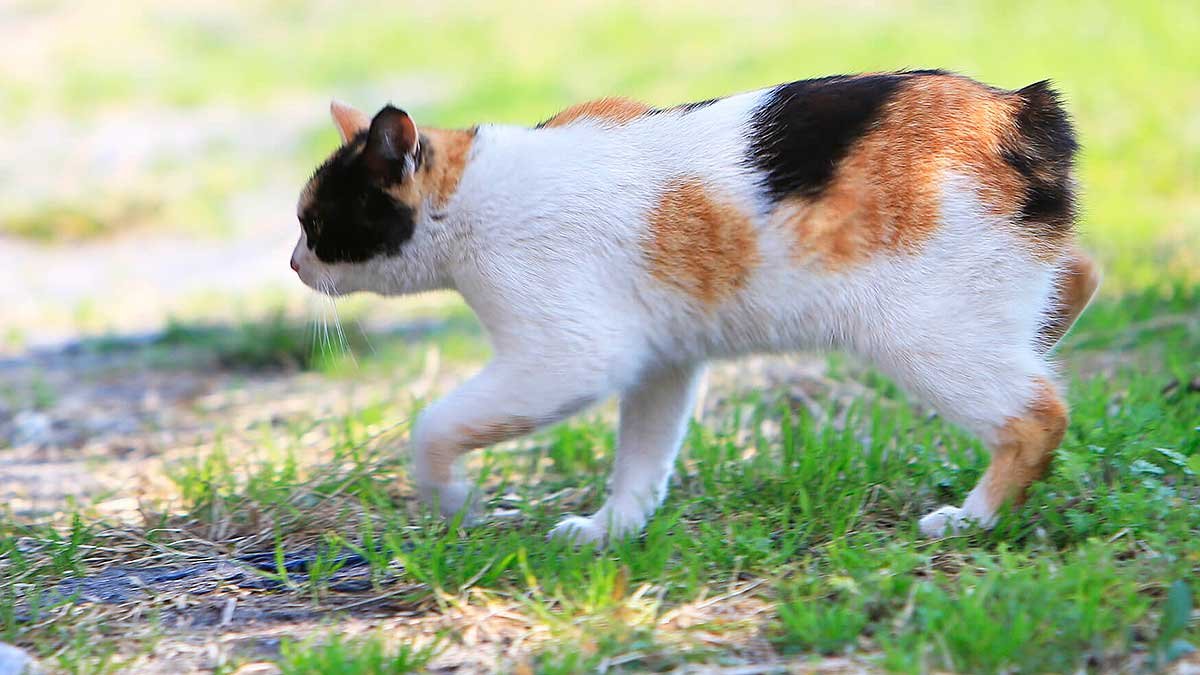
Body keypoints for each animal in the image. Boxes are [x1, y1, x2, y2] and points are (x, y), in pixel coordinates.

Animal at [288, 69, 1099, 540]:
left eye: (316, 223)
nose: (294, 262)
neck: (471, 194)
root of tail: (1019, 109)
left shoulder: (569, 355)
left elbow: (434, 424)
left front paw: (450, 497)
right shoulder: (661, 362)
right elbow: (642, 459)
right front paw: (611, 531)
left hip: (924, 332)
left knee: (1038, 417)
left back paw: (975, 517)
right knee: (1078, 278)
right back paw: (1045, 336)